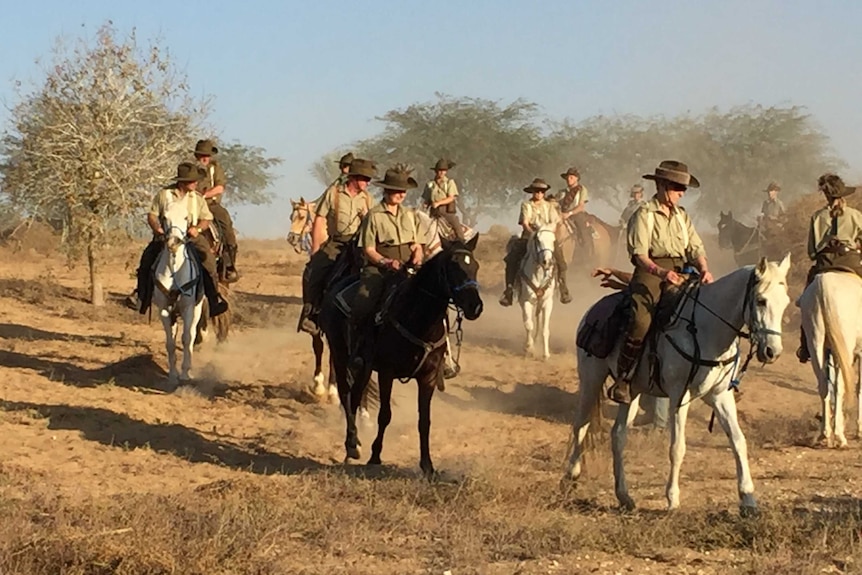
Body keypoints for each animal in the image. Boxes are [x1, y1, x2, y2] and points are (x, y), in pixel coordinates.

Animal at [152, 202, 206, 388]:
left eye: (186, 217)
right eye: (164, 216)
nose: (174, 242)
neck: (175, 271)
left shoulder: (188, 309)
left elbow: (187, 338)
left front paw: (184, 374)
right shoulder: (164, 311)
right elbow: (170, 343)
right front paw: (173, 375)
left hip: (197, 310)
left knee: (192, 335)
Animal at [318, 234, 486, 476]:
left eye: (475, 266)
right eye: (453, 266)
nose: (475, 306)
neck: (417, 318)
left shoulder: (428, 378)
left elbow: (424, 421)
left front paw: (427, 465)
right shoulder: (387, 373)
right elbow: (385, 415)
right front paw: (375, 456)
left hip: (363, 367)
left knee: (357, 395)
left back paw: (355, 442)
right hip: (340, 355)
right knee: (346, 394)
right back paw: (351, 446)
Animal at [568, 255, 796, 512]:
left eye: (785, 302)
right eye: (761, 300)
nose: (772, 352)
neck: (707, 329)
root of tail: (593, 310)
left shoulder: (720, 395)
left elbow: (739, 441)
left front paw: (748, 499)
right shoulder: (680, 395)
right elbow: (677, 447)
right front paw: (672, 499)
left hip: (631, 392)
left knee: (618, 435)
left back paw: (624, 496)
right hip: (591, 378)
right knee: (581, 424)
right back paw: (571, 475)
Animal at [796, 272, 862, 448]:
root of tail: (823, 284)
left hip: (816, 341)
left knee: (824, 385)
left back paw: (824, 433)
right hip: (843, 346)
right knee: (840, 386)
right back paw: (839, 436)